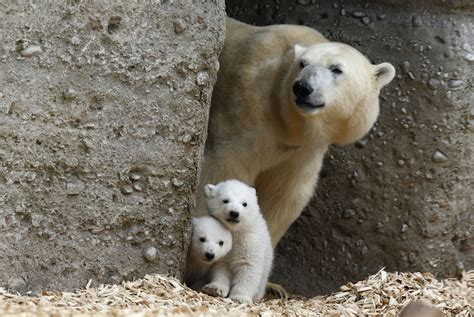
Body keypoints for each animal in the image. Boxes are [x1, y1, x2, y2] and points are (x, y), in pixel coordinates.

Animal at [193, 17, 396, 247]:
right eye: (303, 64)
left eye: (336, 69)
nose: (302, 87)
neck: (288, 123)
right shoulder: (242, 115)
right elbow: (223, 171)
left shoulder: (302, 152)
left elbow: (282, 197)